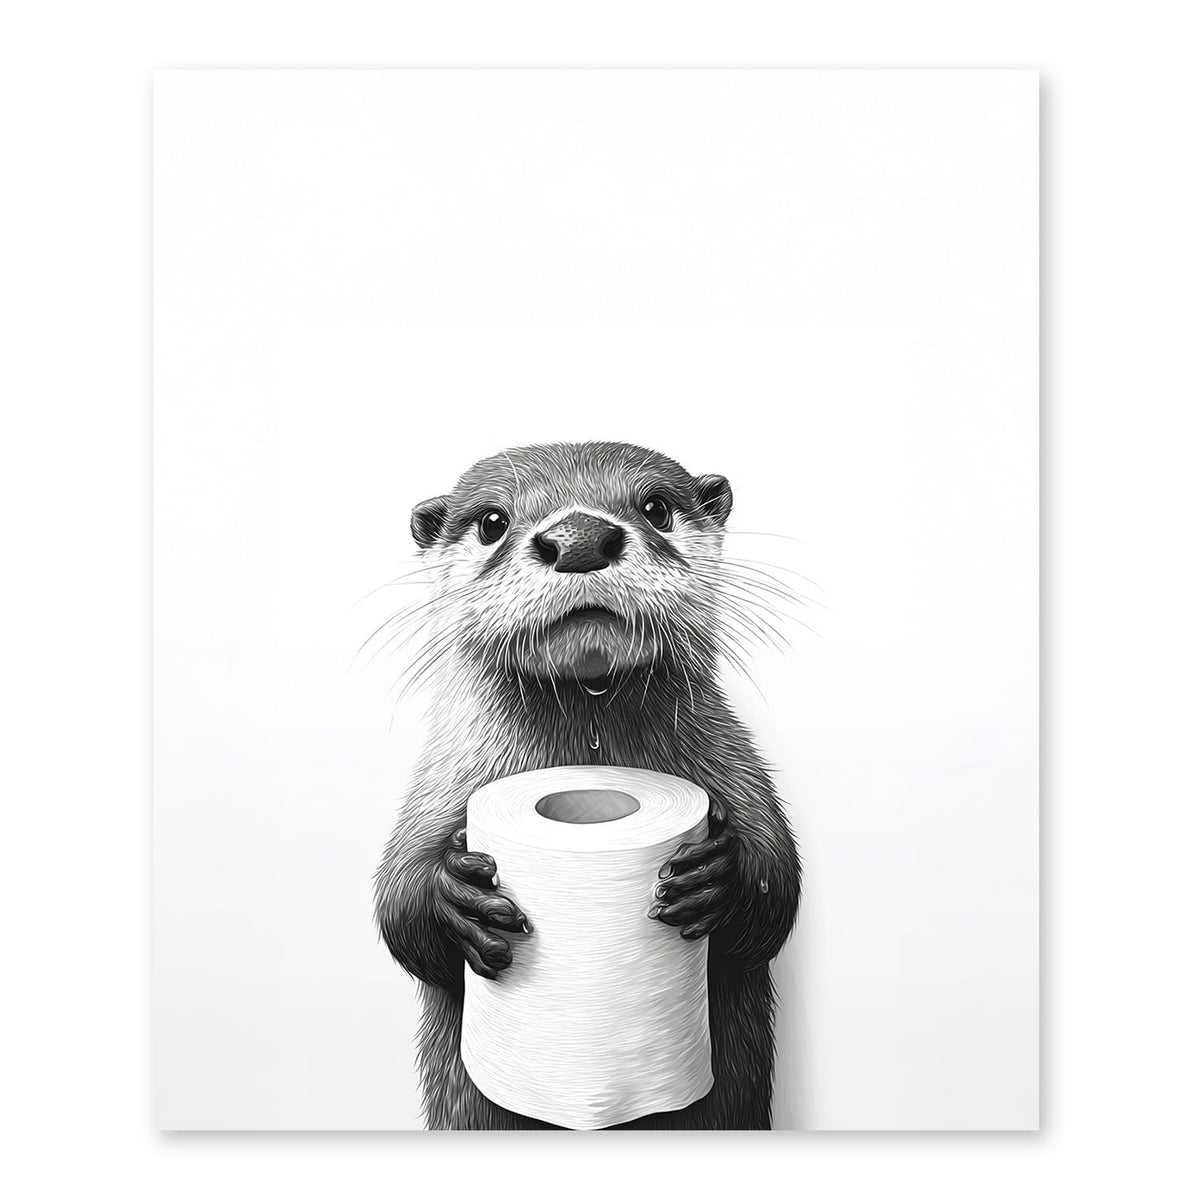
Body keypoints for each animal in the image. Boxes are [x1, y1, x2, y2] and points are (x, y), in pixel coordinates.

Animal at [374, 441, 801, 1130]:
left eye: (656, 507)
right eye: (491, 522)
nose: (579, 538)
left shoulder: (742, 773)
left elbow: (776, 897)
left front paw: (717, 875)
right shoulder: (436, 786)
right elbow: (398, 911)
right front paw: (456, 899)